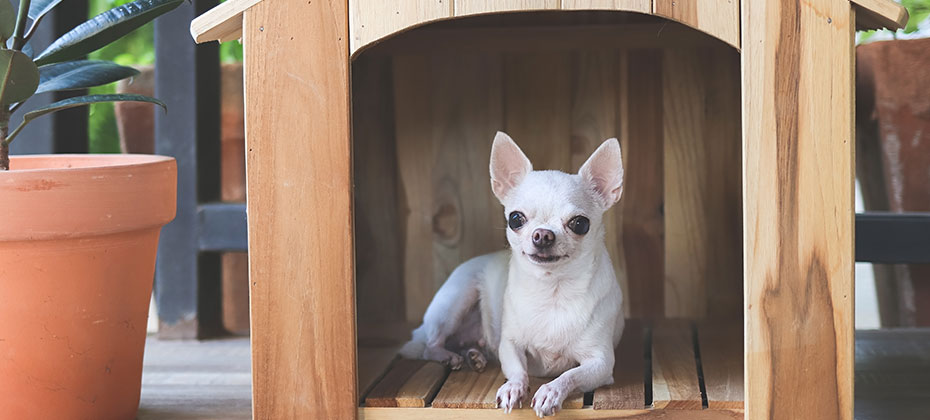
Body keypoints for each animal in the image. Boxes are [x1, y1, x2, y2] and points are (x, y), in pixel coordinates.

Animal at [398, 131, 624, 416]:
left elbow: (569, 375)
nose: (542, 234)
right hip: (455, 301)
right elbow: (517, 369)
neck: (553, 290)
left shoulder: (601, 364)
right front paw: (513, 387)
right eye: (516, 219)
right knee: (430, 346)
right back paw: (450, 356)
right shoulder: (509, 344)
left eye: (579, 223)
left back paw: (475, 356)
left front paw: (551, 391)